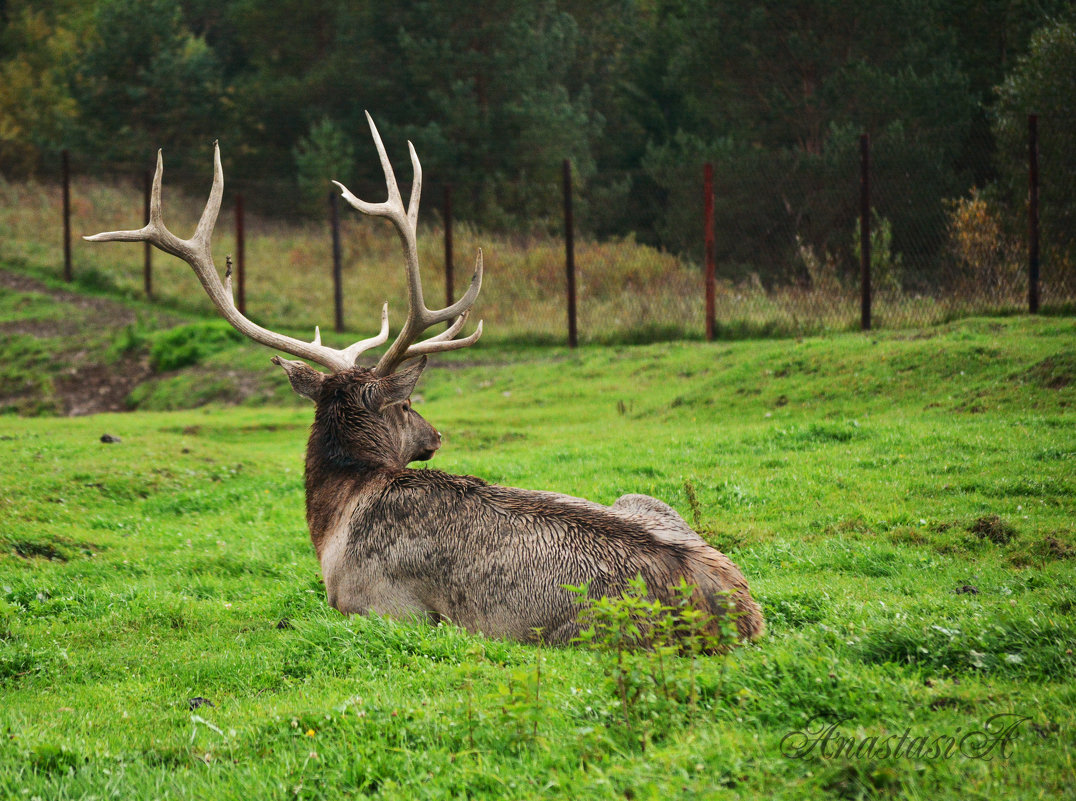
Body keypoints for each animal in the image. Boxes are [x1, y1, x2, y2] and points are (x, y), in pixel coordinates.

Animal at [88, 112, 766, 645]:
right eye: (411, 403)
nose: (437, 434)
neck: (335, 517)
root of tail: (739, 612)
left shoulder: (384, 606)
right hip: (643, 501)